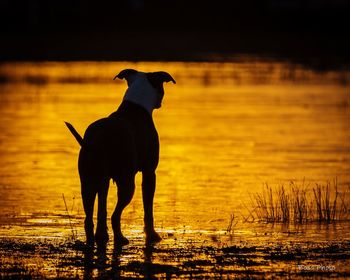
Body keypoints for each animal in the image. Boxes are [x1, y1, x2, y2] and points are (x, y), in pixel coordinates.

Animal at [64, 69, 176, 246]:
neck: (136, 105)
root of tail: (97, 139)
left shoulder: (104, 179)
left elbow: (102, 206)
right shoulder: (149, 172)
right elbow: (148, 208)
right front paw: (152, 235)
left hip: (88, 181)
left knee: (89, 217)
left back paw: (97, 238)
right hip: (126, 183)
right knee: (115, 215)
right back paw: (120, 238)